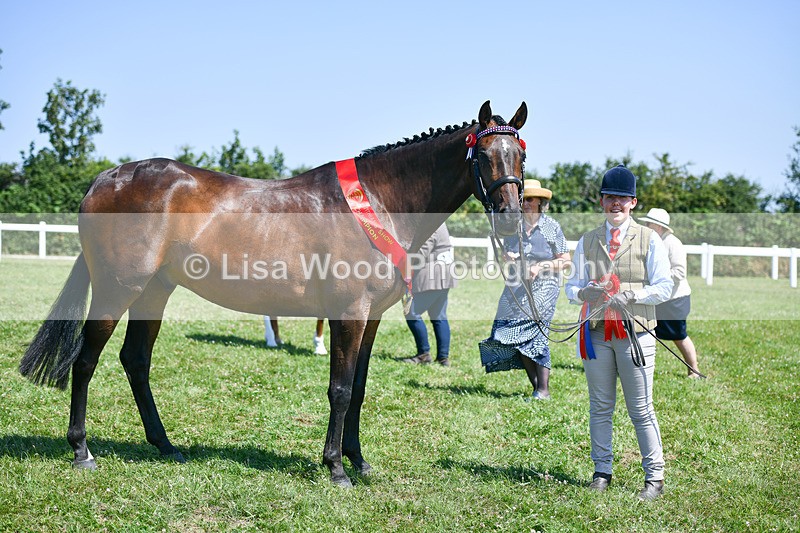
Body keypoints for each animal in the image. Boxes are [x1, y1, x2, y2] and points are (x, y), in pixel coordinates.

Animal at [19, 100, 528, 487]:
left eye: (519, 155)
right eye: (484, 155)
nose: (511, 219)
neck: (378, 200)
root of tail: (105, 179)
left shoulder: (371, 318)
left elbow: (360, 388)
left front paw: (359, 462)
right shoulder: (348, 314)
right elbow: (341, 389)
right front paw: (336, 468)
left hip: (154, 292)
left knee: (135, 361)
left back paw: (165, 445)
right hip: (116, 289)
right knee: (85, 361)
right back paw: (82, 450)